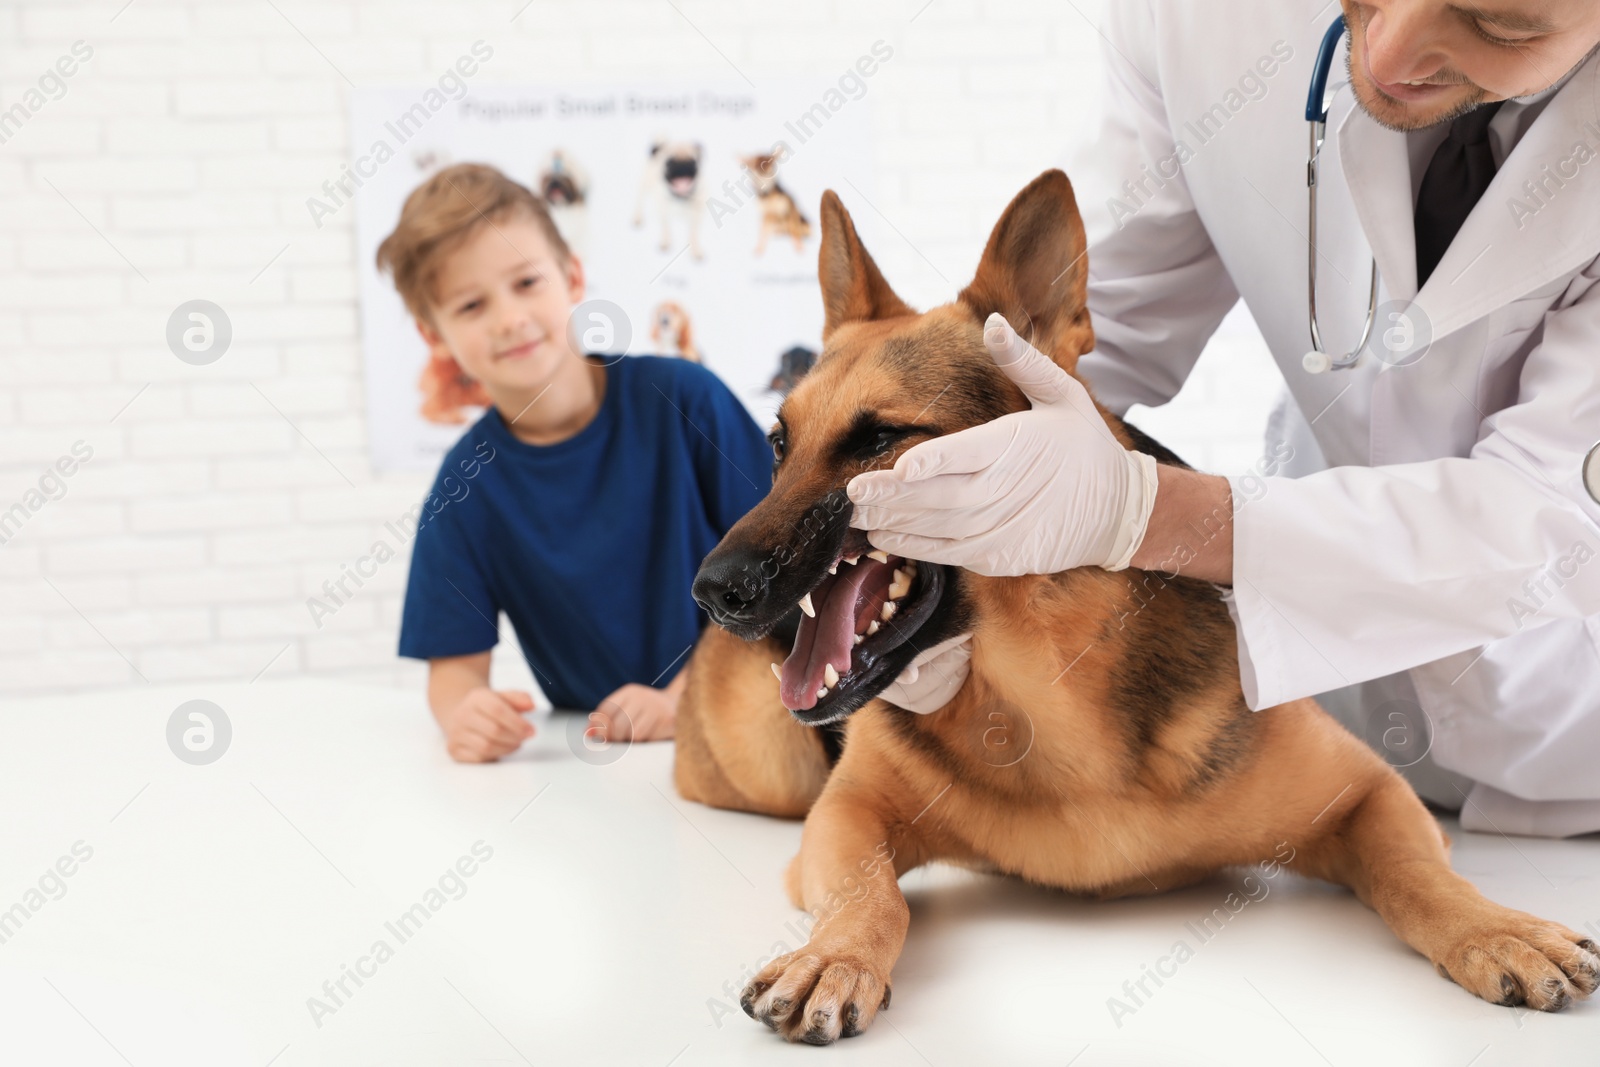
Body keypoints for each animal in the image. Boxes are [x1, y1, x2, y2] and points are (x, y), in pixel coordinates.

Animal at [675, 168, 1600, 1043]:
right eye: (778, 445)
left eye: (877, 439)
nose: (713, 588)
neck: (1043, 688)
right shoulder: (844, 817)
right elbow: (871, 894)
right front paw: (836, 955)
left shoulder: (1371, 795)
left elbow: (1422, 875)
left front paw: (1492, 926)